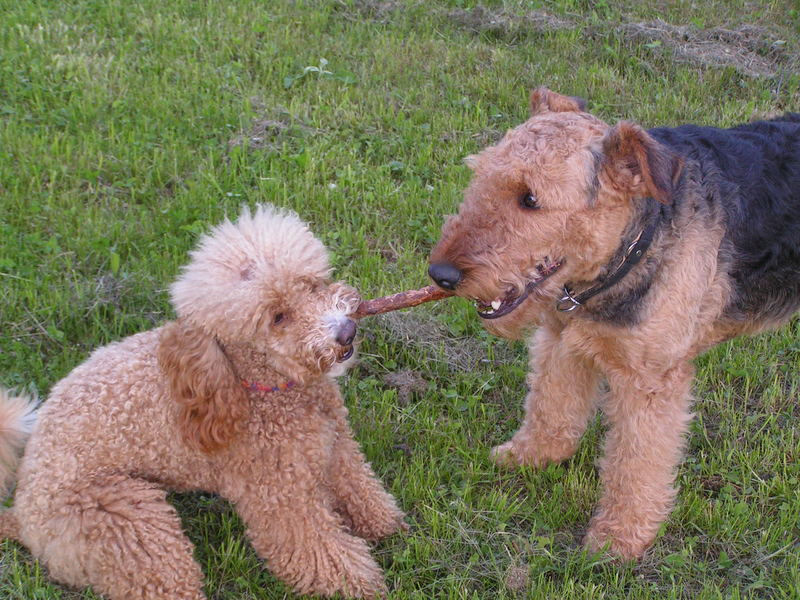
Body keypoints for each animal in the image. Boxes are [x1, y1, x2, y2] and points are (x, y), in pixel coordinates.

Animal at [0, 204, 404, 596]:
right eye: (277, 317)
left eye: (310, 285)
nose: (346, 330)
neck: (256, 384)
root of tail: (20, 515)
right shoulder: (279, 494)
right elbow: (315, 549)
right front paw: (359, 583)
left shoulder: (334, 444)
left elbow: (359, 486)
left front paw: (385, 524)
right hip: (125, 520)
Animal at [428, 88, 800, 556]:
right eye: (480, 176)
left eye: (530, 199)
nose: (440, 274)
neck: (631, 248)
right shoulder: (560, 338)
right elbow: (550, 407)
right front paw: (529, 455)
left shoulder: (650, 381)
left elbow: (634, 463)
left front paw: (617, 539)